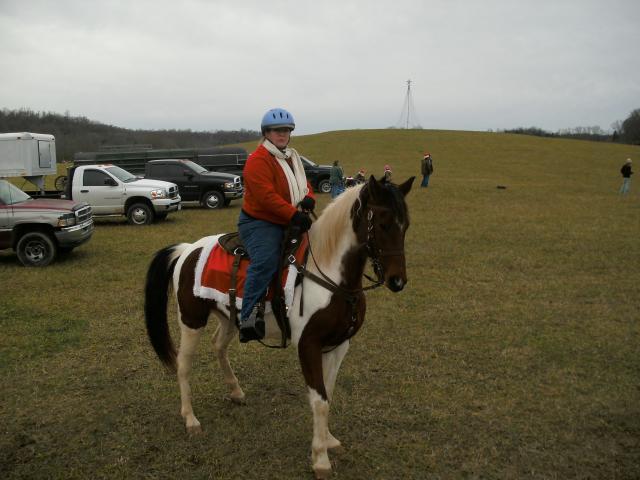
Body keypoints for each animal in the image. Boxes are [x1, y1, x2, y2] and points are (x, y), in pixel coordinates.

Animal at [145, 174, 416, 478]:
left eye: (405, 225)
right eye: (382, 223)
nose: (397, 281)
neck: (331, 277)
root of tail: (186, 249)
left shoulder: (339, 345)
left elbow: (328, 394)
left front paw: (329, 440)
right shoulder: (308, 345)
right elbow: (319, 400)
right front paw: (320, 459)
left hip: (229, 316)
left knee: (218, 346)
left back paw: (235, 391)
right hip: (191, 320)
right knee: (183, 365)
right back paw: (191, 420)